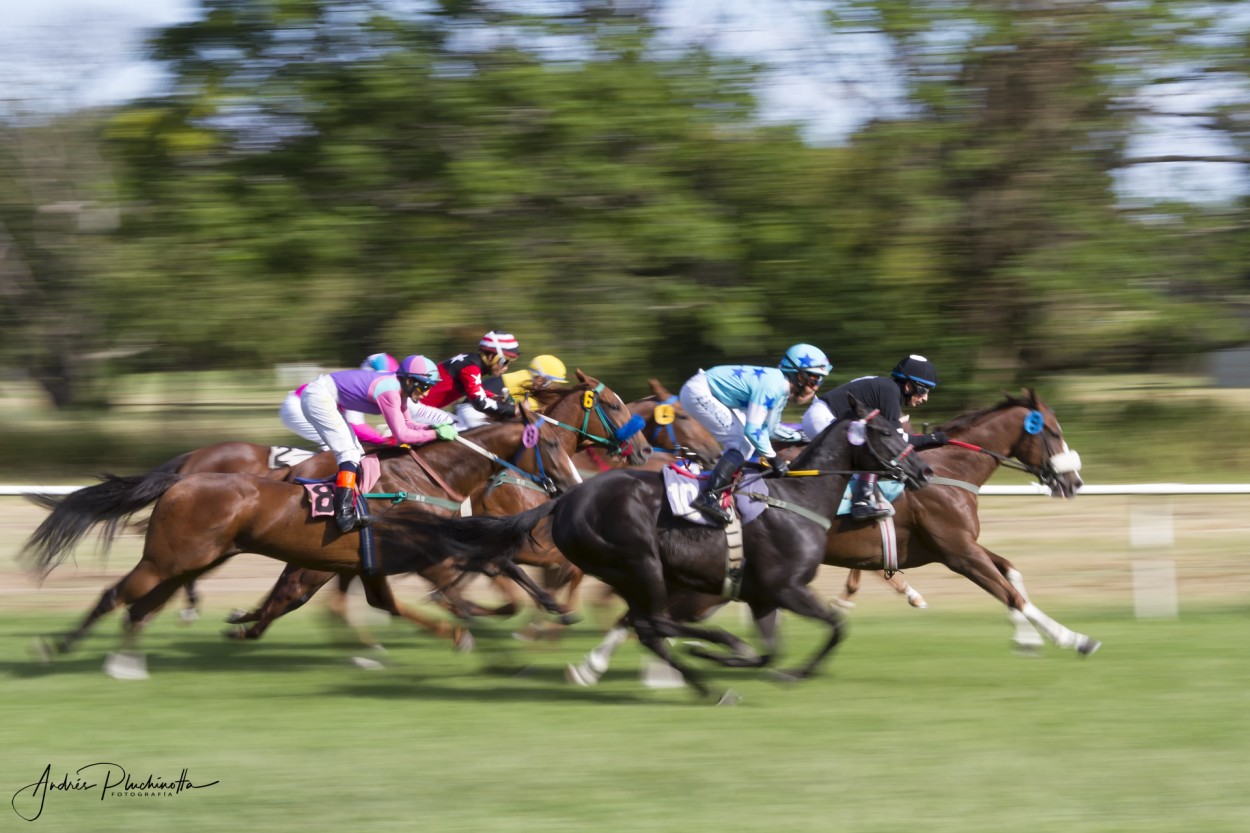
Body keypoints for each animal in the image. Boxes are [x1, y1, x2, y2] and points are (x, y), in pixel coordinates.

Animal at [570, 385, 1105, 685]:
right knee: (645, 614)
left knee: (643, 614)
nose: (1074, 482)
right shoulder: (956, 551)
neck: (948, 470)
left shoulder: (959, 548)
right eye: (1052, 431)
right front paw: (1073, 638)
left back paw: (600, 666)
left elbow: (1011, 574)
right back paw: (615, 665)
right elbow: (1009, 592)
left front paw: (1029, 640)